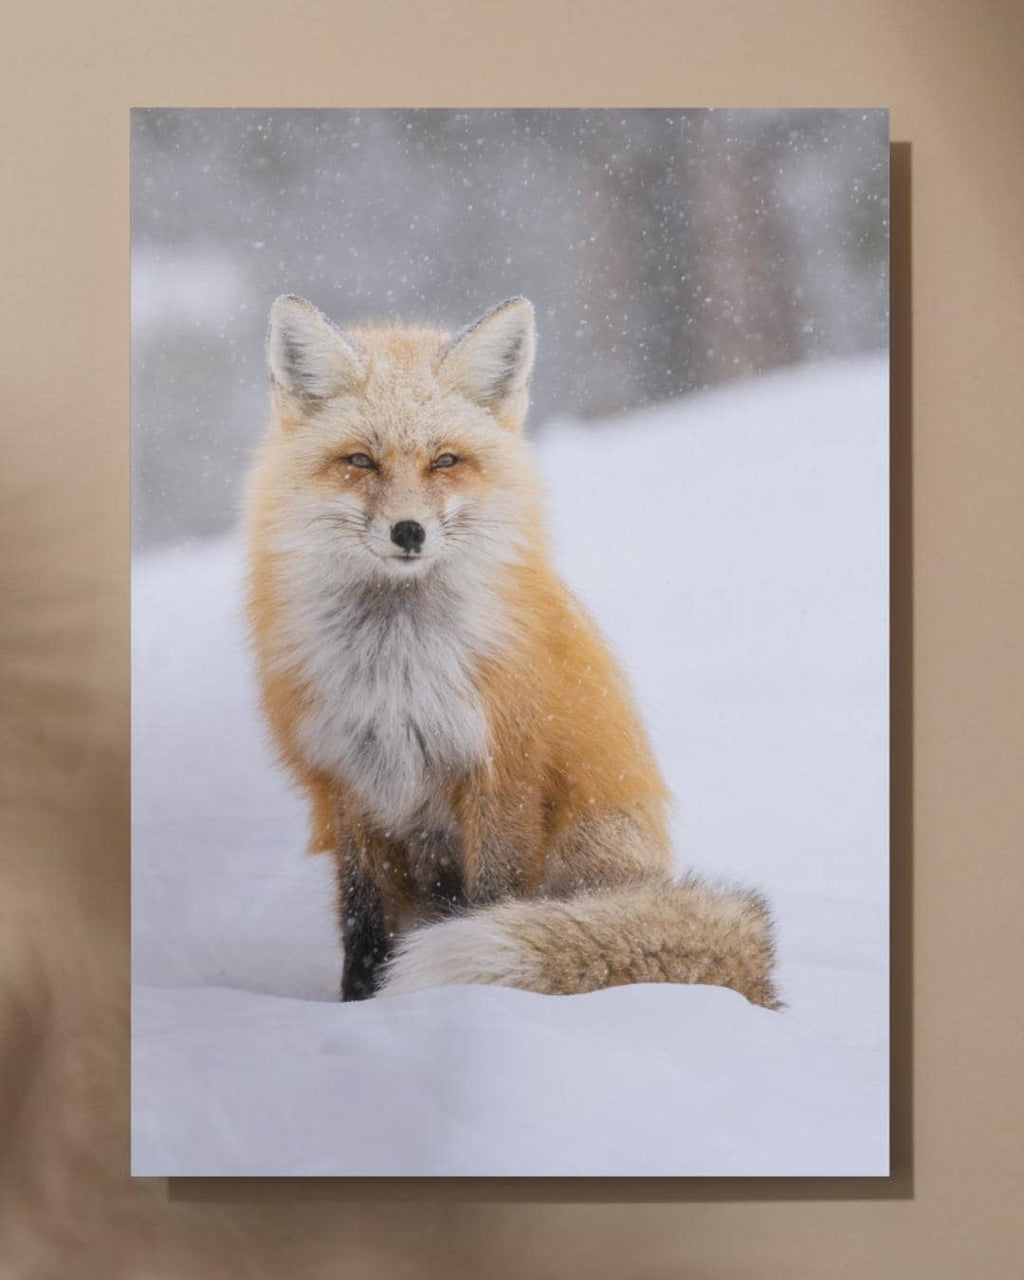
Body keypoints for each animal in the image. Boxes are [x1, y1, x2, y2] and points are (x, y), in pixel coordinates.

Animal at [244, 293, 780, 1007]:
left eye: (445, 461)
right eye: (360, 461)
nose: (408, 531)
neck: (398, 667)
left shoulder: (505, 771)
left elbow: (493, 897)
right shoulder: (349, 779)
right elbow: (362, 918)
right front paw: (358, 1006)